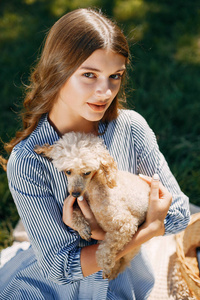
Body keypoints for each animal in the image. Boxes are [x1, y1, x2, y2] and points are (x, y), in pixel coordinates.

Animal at [35, 132, 149, 280]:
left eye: (87, 172)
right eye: (68, 171)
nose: (75, 193)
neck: (93, 186)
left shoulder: (125, 225)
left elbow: (107, 249)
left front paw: (106, 266)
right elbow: (74, 211)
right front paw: (82, 228)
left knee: (124, 260)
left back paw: (113, 271)